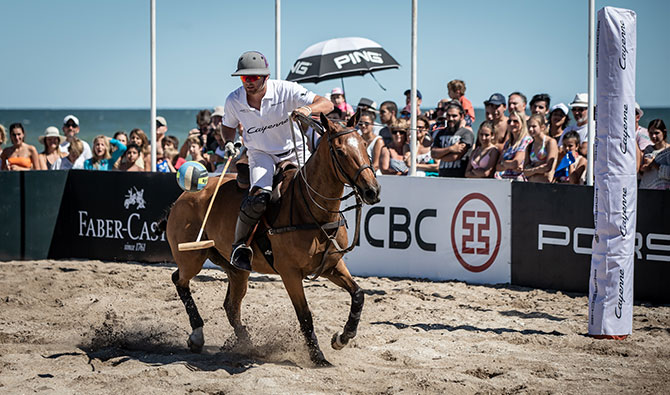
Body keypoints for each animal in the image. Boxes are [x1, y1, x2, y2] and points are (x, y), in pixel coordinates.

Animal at [163, 110, 380, 366]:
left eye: (364, 144)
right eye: (339, 151)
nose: (372, 191)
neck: (312, 210)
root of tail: (183, 196)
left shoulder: (331, 265)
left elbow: (358, 294)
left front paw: (342, 337)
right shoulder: (290, 273)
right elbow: (305, 315)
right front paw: (318, 357)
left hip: (236, 269)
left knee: (230, 306)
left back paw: (246, 343)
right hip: (193, 256)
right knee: (179, 280)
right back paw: (198, 335)